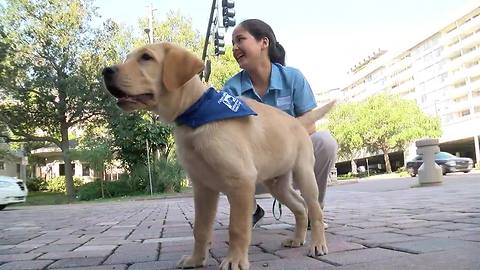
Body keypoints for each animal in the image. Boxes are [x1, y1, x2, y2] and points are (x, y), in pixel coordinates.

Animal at [102, 42, 334, 268]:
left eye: (146, 57)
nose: (105, 71)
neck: (196, 113)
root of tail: (297, 122)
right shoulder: (203, 187)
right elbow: (200, 229)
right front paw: (196, 260)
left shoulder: (241, 181)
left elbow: (237, 228)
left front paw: (235, 261)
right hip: (277, 184)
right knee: (300, 207)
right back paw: (297, 239)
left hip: (304, 174)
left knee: (315, 209)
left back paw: (317, 244)